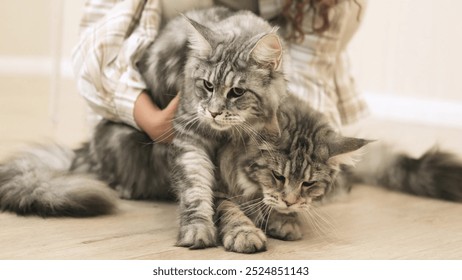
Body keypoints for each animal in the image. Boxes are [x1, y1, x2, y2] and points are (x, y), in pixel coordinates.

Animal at [0, 6, 286, 248]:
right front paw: (199, 230)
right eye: (207, 85)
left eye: (237, 92)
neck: (225, 135)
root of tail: (83, 154)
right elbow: (196, 190)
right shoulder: (189, 139)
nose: (213, 112)